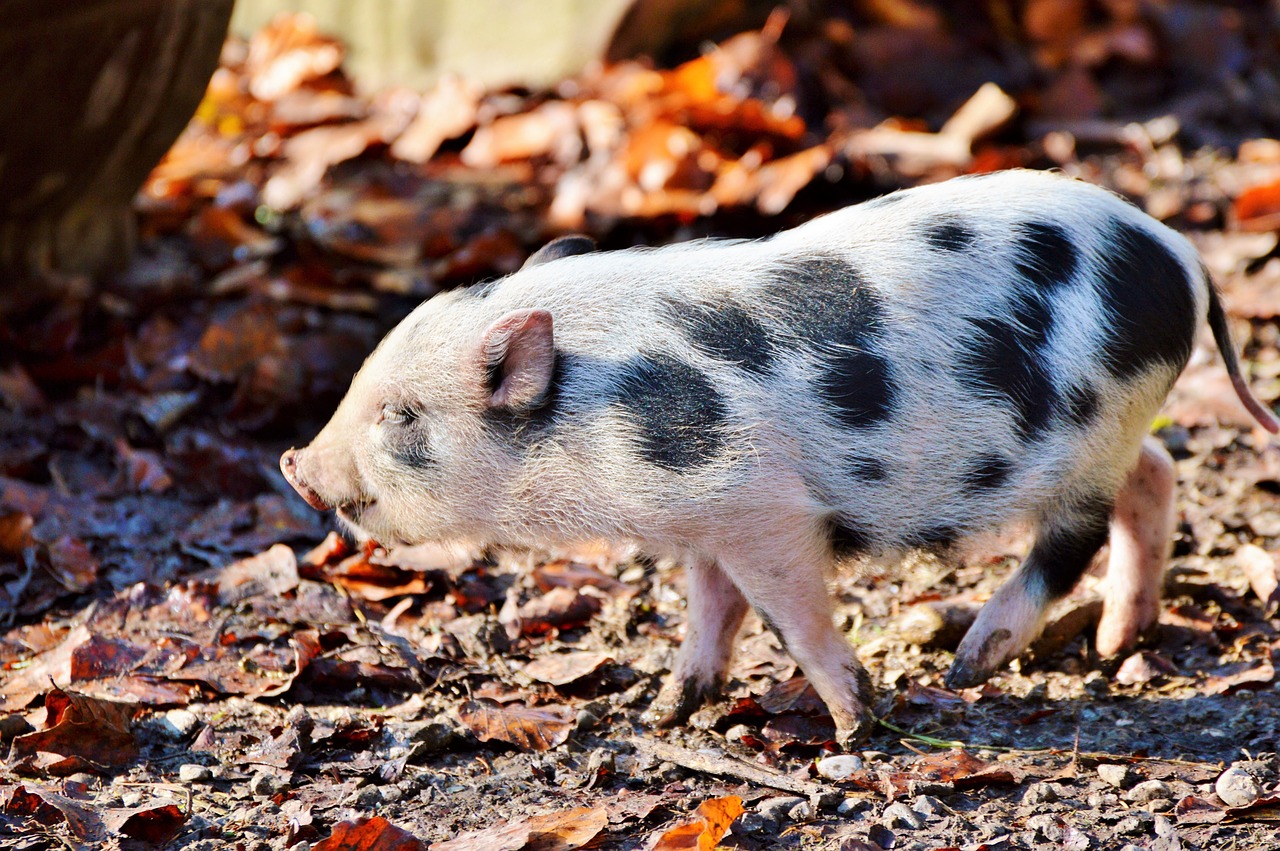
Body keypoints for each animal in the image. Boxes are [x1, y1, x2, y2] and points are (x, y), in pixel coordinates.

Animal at [282, 167, 1280, 742]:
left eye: (402, 414)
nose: (295, 461)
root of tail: (1179, 250)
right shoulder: (705, 519)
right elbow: (711, 612)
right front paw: (665, 710)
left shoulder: (758, 505)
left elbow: (790, 614)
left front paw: (853, 725)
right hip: (1109, 433)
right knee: (1156, 476)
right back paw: (1114, 644)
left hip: (1091, 428)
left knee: (1070, 540)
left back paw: (968, 666)